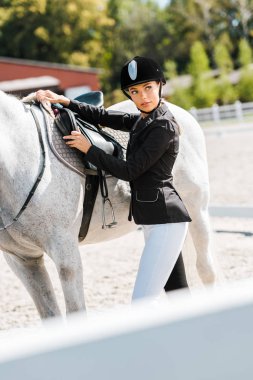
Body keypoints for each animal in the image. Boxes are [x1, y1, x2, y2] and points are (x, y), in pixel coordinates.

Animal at [0, 90, 216, 320]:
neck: (21, 159)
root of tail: (180, 114)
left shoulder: (65, 254)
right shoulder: (23, 260)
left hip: (197, 211)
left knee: (206, 269)